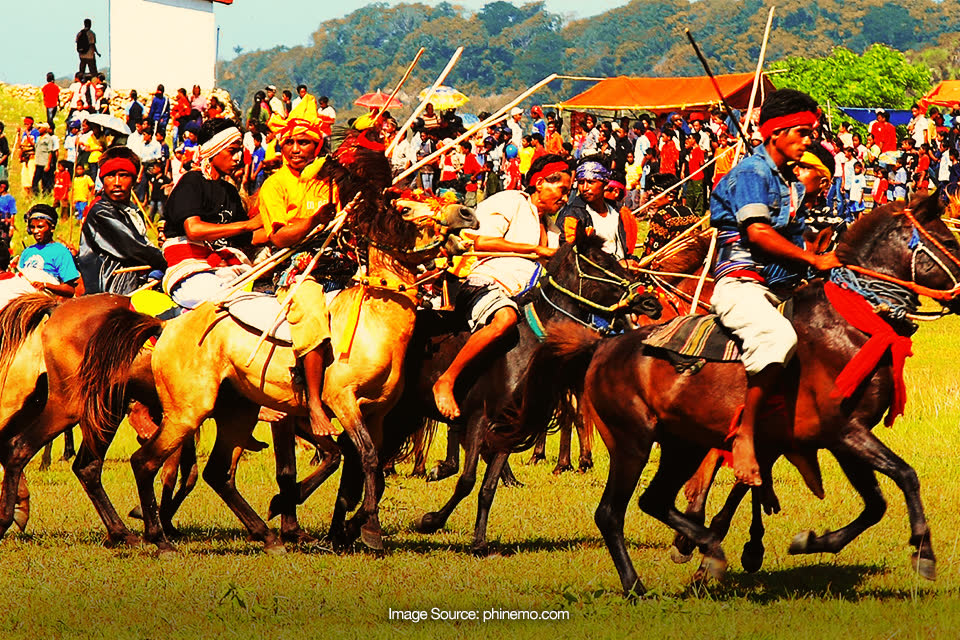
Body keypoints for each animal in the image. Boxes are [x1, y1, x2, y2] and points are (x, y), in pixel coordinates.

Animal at [492, 196, 960, 596]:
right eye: (952, 240)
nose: (643, 299)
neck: (848, 324)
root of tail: (602, 347)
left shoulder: (838, 436)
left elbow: (875, 503)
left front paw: (809, 541)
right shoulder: (844, 431)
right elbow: (904, 476)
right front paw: (924, 553)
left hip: (680, 444)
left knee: (653, 498)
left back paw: (702, 546)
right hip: (633, 443)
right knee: (611, 510)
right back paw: (647, 577)